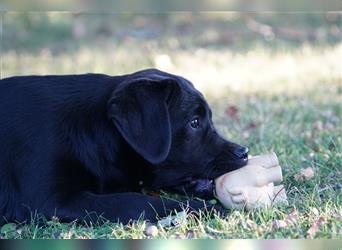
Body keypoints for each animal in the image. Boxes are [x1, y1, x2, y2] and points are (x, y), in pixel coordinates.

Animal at [0, 67, 247, 224]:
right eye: (195, 122)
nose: (244, 152)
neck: (89, 129)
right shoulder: (50, 200)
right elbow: (136, 201)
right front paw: (205, 209)